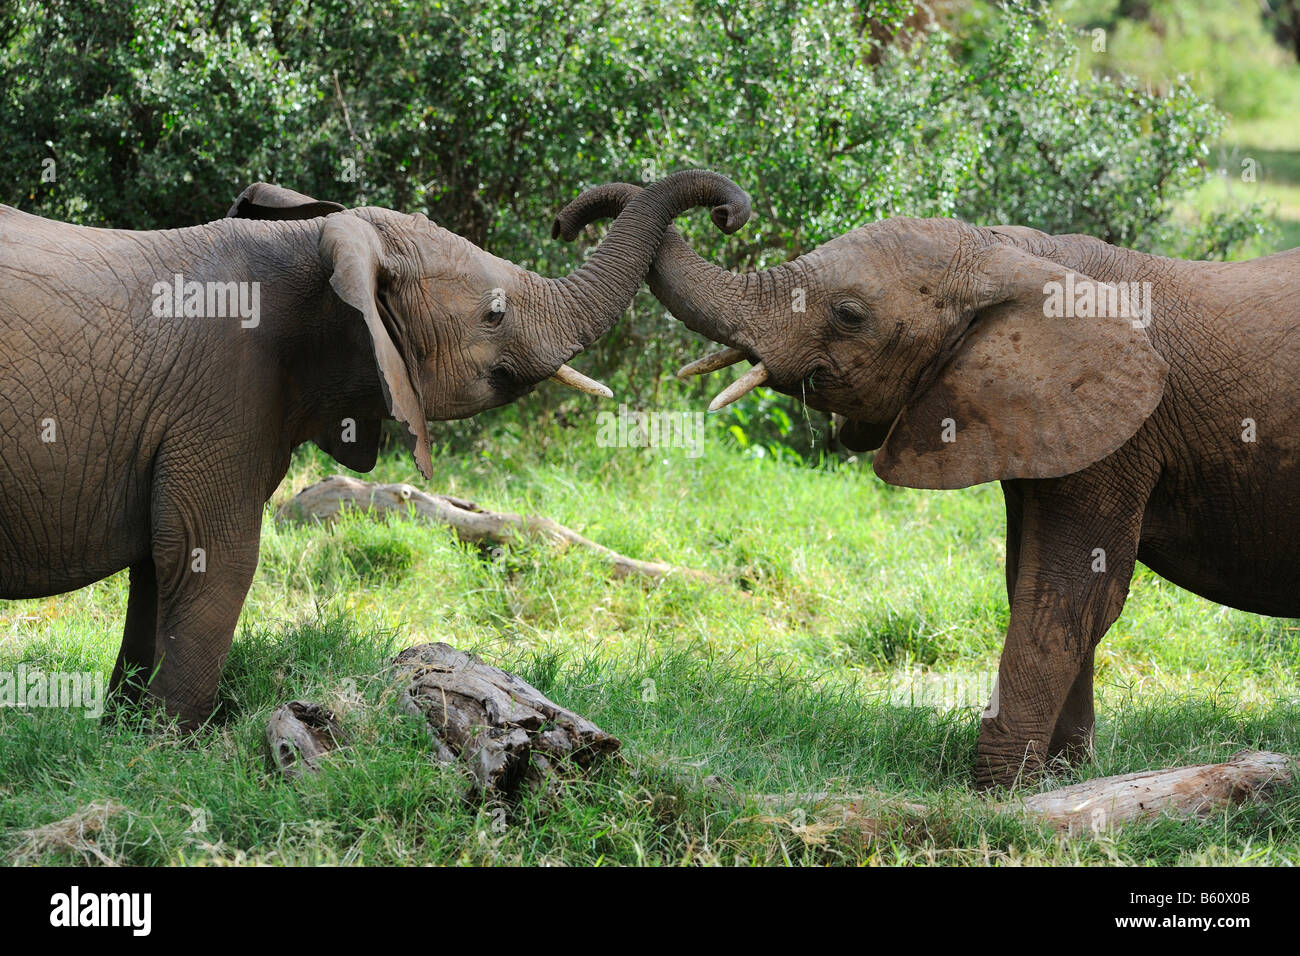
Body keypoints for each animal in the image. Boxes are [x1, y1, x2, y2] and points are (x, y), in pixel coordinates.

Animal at [0, 170, 754, 723]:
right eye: (495, 313)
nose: (730, 212)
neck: (317, 249)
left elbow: (160, 569)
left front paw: (126, 732)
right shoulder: (219, 397)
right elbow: (214, 557)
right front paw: (171, 747)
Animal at [553, 179, 1300, 785]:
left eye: (849, 314)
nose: (726, 210)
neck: (1022, 256)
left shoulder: (1126, 436)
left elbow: (1070, 593)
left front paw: (999, 791)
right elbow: (1035, 581)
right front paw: (1060, 778)